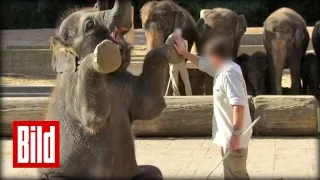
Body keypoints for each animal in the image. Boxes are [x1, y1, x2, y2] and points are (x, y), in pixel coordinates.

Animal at [37, 0, 184, 179]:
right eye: (89, 25)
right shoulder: (72, 88)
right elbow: (94, 118)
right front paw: (103, 52)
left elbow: (150, 106)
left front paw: (174, 46)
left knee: (154, 172)